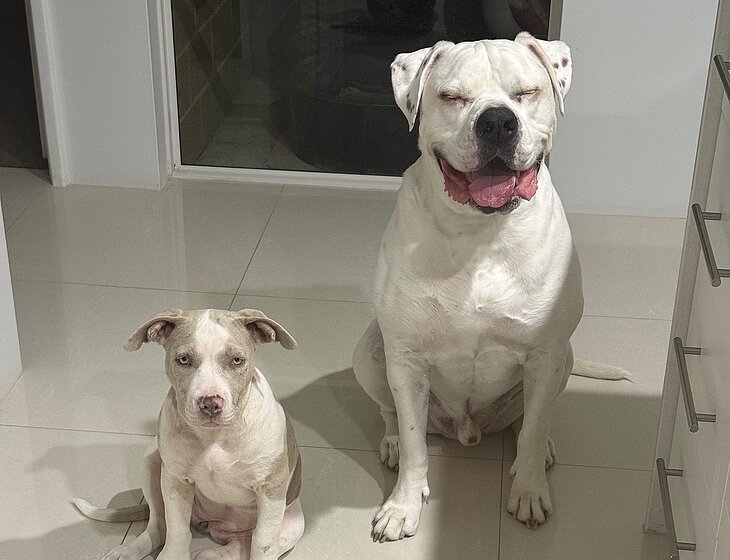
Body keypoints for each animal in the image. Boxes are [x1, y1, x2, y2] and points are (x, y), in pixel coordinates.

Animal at [74, 308, 304, 560]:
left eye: (237, 360)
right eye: (184, 360)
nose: (210, 403)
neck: (215, 437)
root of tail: (214, 525)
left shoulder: (270, 488)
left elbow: (263, 542)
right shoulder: (175, 480)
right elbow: (177, 530)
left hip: (293, 524)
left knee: (244, 543)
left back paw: (212, 554)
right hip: (152, 461)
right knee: (159, 525)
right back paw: (128, 550)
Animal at [353, 32, 629, 541]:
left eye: (526, 93)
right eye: (452, 97)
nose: (497, 121)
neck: (480, 233)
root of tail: (468, 427)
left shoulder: (544, 354)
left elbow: (535, 423)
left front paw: (529, 490)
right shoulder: (406, 357)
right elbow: (414, 442)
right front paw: (403, 505)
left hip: (563, 359)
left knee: (531, 419)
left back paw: (538, 450)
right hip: (370, 352)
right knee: (392, 414)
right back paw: (394, 444)